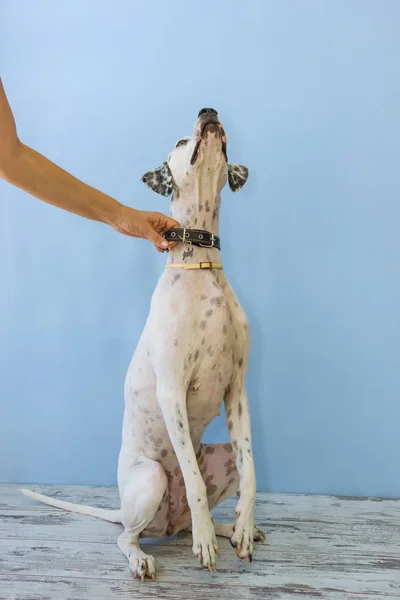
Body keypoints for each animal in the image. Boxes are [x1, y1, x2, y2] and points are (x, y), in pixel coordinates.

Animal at [21, 108, 262, 580]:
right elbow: (193, 480)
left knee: (197, 513)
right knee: (129, 535)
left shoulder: (237, 393)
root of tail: (163, 522)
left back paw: (225, 529)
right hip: (150, 481)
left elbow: (251, 472)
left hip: (220, 457)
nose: (209, 112)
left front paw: (243, 526)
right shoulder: (172, 391)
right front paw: (209, 541)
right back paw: (148, 555)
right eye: (180, 140)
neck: (201, 268)